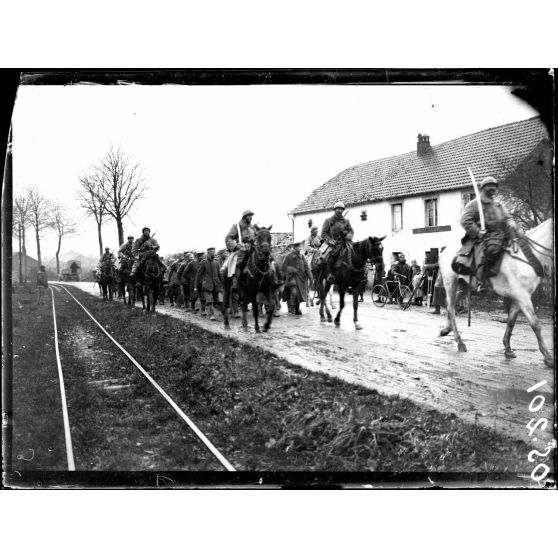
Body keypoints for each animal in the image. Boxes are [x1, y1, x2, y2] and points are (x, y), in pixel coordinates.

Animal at [442, 221, 556, 370]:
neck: (526, 257)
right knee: (451, 308)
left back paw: (446, 330)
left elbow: (511, 321)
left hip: (464, 286)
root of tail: (444, 250)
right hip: (451, 283)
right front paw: (548, 357)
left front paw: (507, 348)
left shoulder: (518, 297)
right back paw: (460, 342)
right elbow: (535, 324)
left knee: (450, 306)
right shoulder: (523, 296)